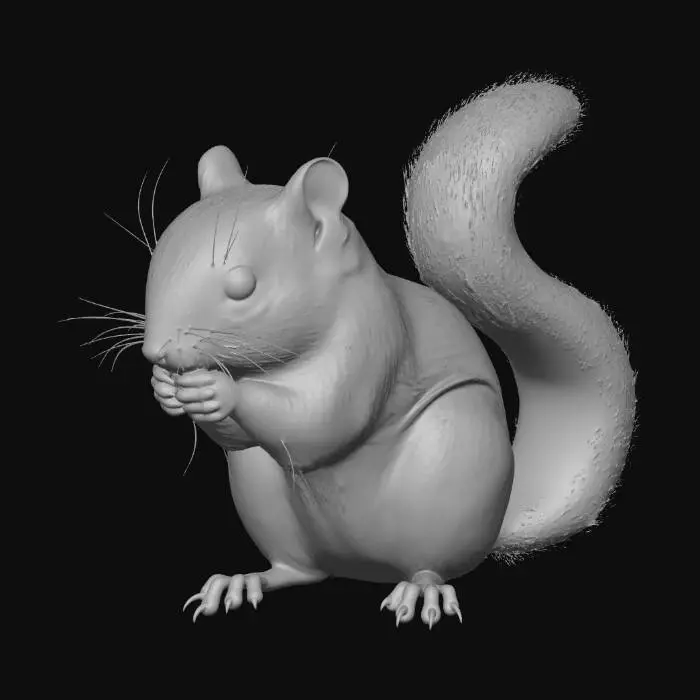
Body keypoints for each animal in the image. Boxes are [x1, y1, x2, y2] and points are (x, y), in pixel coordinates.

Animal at [132, 78, 636, 628]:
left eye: (243, 287)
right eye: (156, 266)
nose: (156, 351)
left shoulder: (375, 335)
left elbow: (324, 417)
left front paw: (220, 389)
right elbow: (246, 436)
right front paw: (167, 389)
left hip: (451, 467)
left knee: (429, 563)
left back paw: (420, 592)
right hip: (264, 495)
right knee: (295, 567)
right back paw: (243, 581)